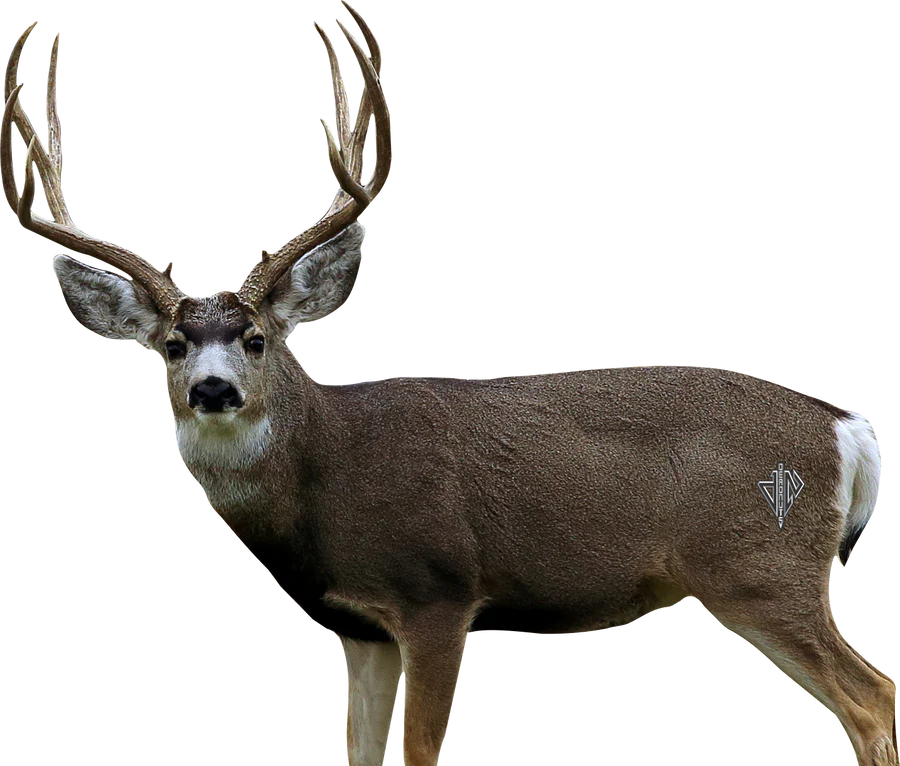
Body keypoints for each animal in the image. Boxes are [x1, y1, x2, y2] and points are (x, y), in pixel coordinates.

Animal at [3, 10, 897, 766]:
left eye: (258, 339)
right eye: (172, 345)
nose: (214, 390)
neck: (328, 478)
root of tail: (843, 427)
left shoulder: (438, 595)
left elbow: (422, 751)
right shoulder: (356, 628)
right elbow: (362, 754)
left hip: (761, 563)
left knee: (873, 697)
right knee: (873, 693)